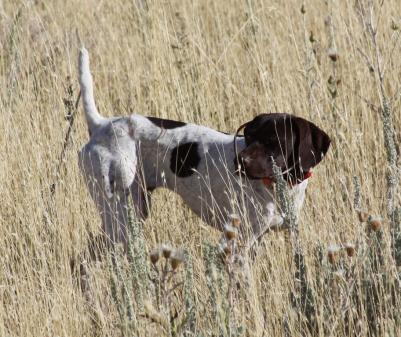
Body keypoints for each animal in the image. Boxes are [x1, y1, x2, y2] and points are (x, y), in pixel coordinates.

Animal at [76, 46, 330, 252]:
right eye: (249, 136)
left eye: (274, 141)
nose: (239, 162)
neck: (280, 186)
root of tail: (100, 124)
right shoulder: (236, 242)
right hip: (120, 216)